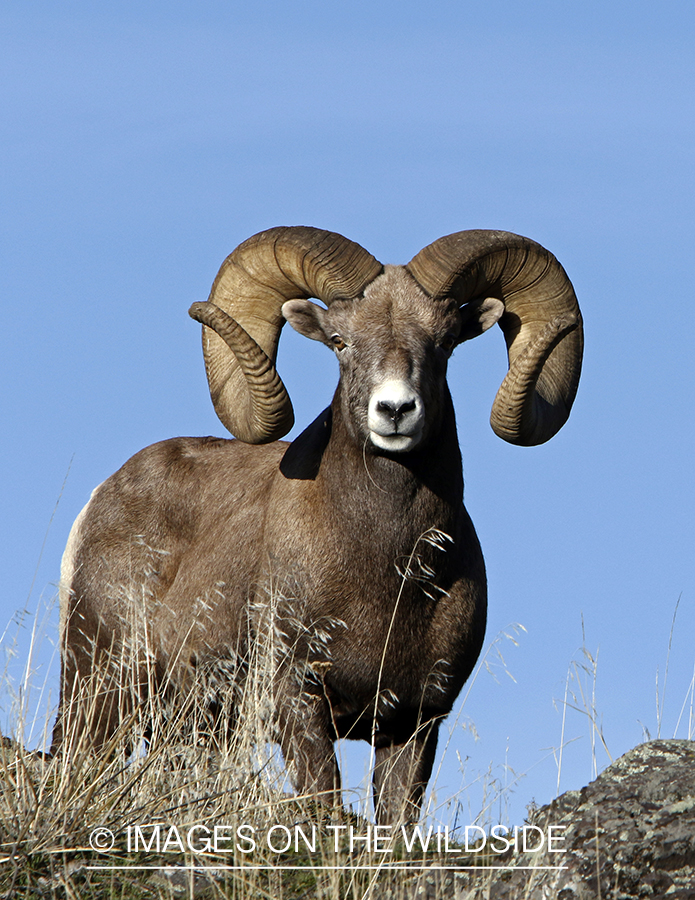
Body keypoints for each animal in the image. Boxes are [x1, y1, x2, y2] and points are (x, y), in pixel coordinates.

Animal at [53, 225, 580, 824]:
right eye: (340, 342)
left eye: (444, 343)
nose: (395, 411)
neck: (389, 572)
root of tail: (100, 500)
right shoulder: (298, 704)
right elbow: (322, 801)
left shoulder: (414, 723)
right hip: (100, 693)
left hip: (190, 728)